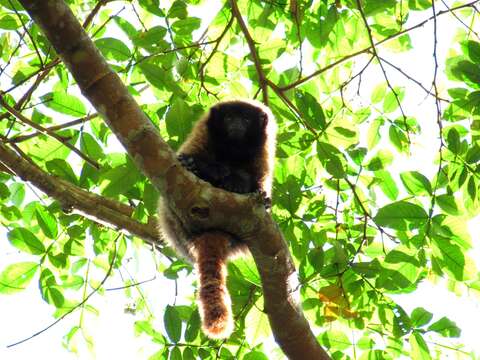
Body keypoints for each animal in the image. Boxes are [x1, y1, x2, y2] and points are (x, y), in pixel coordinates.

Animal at [158, 100, 276, 338]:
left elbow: (260, 181)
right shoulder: (204, 131)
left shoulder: (265, 145)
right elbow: (188, 153)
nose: (236, 123)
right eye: (229, 117)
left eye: (246, 119)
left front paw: (253, 190)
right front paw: (199, 166)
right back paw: (207, 171)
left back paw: (234, 182)